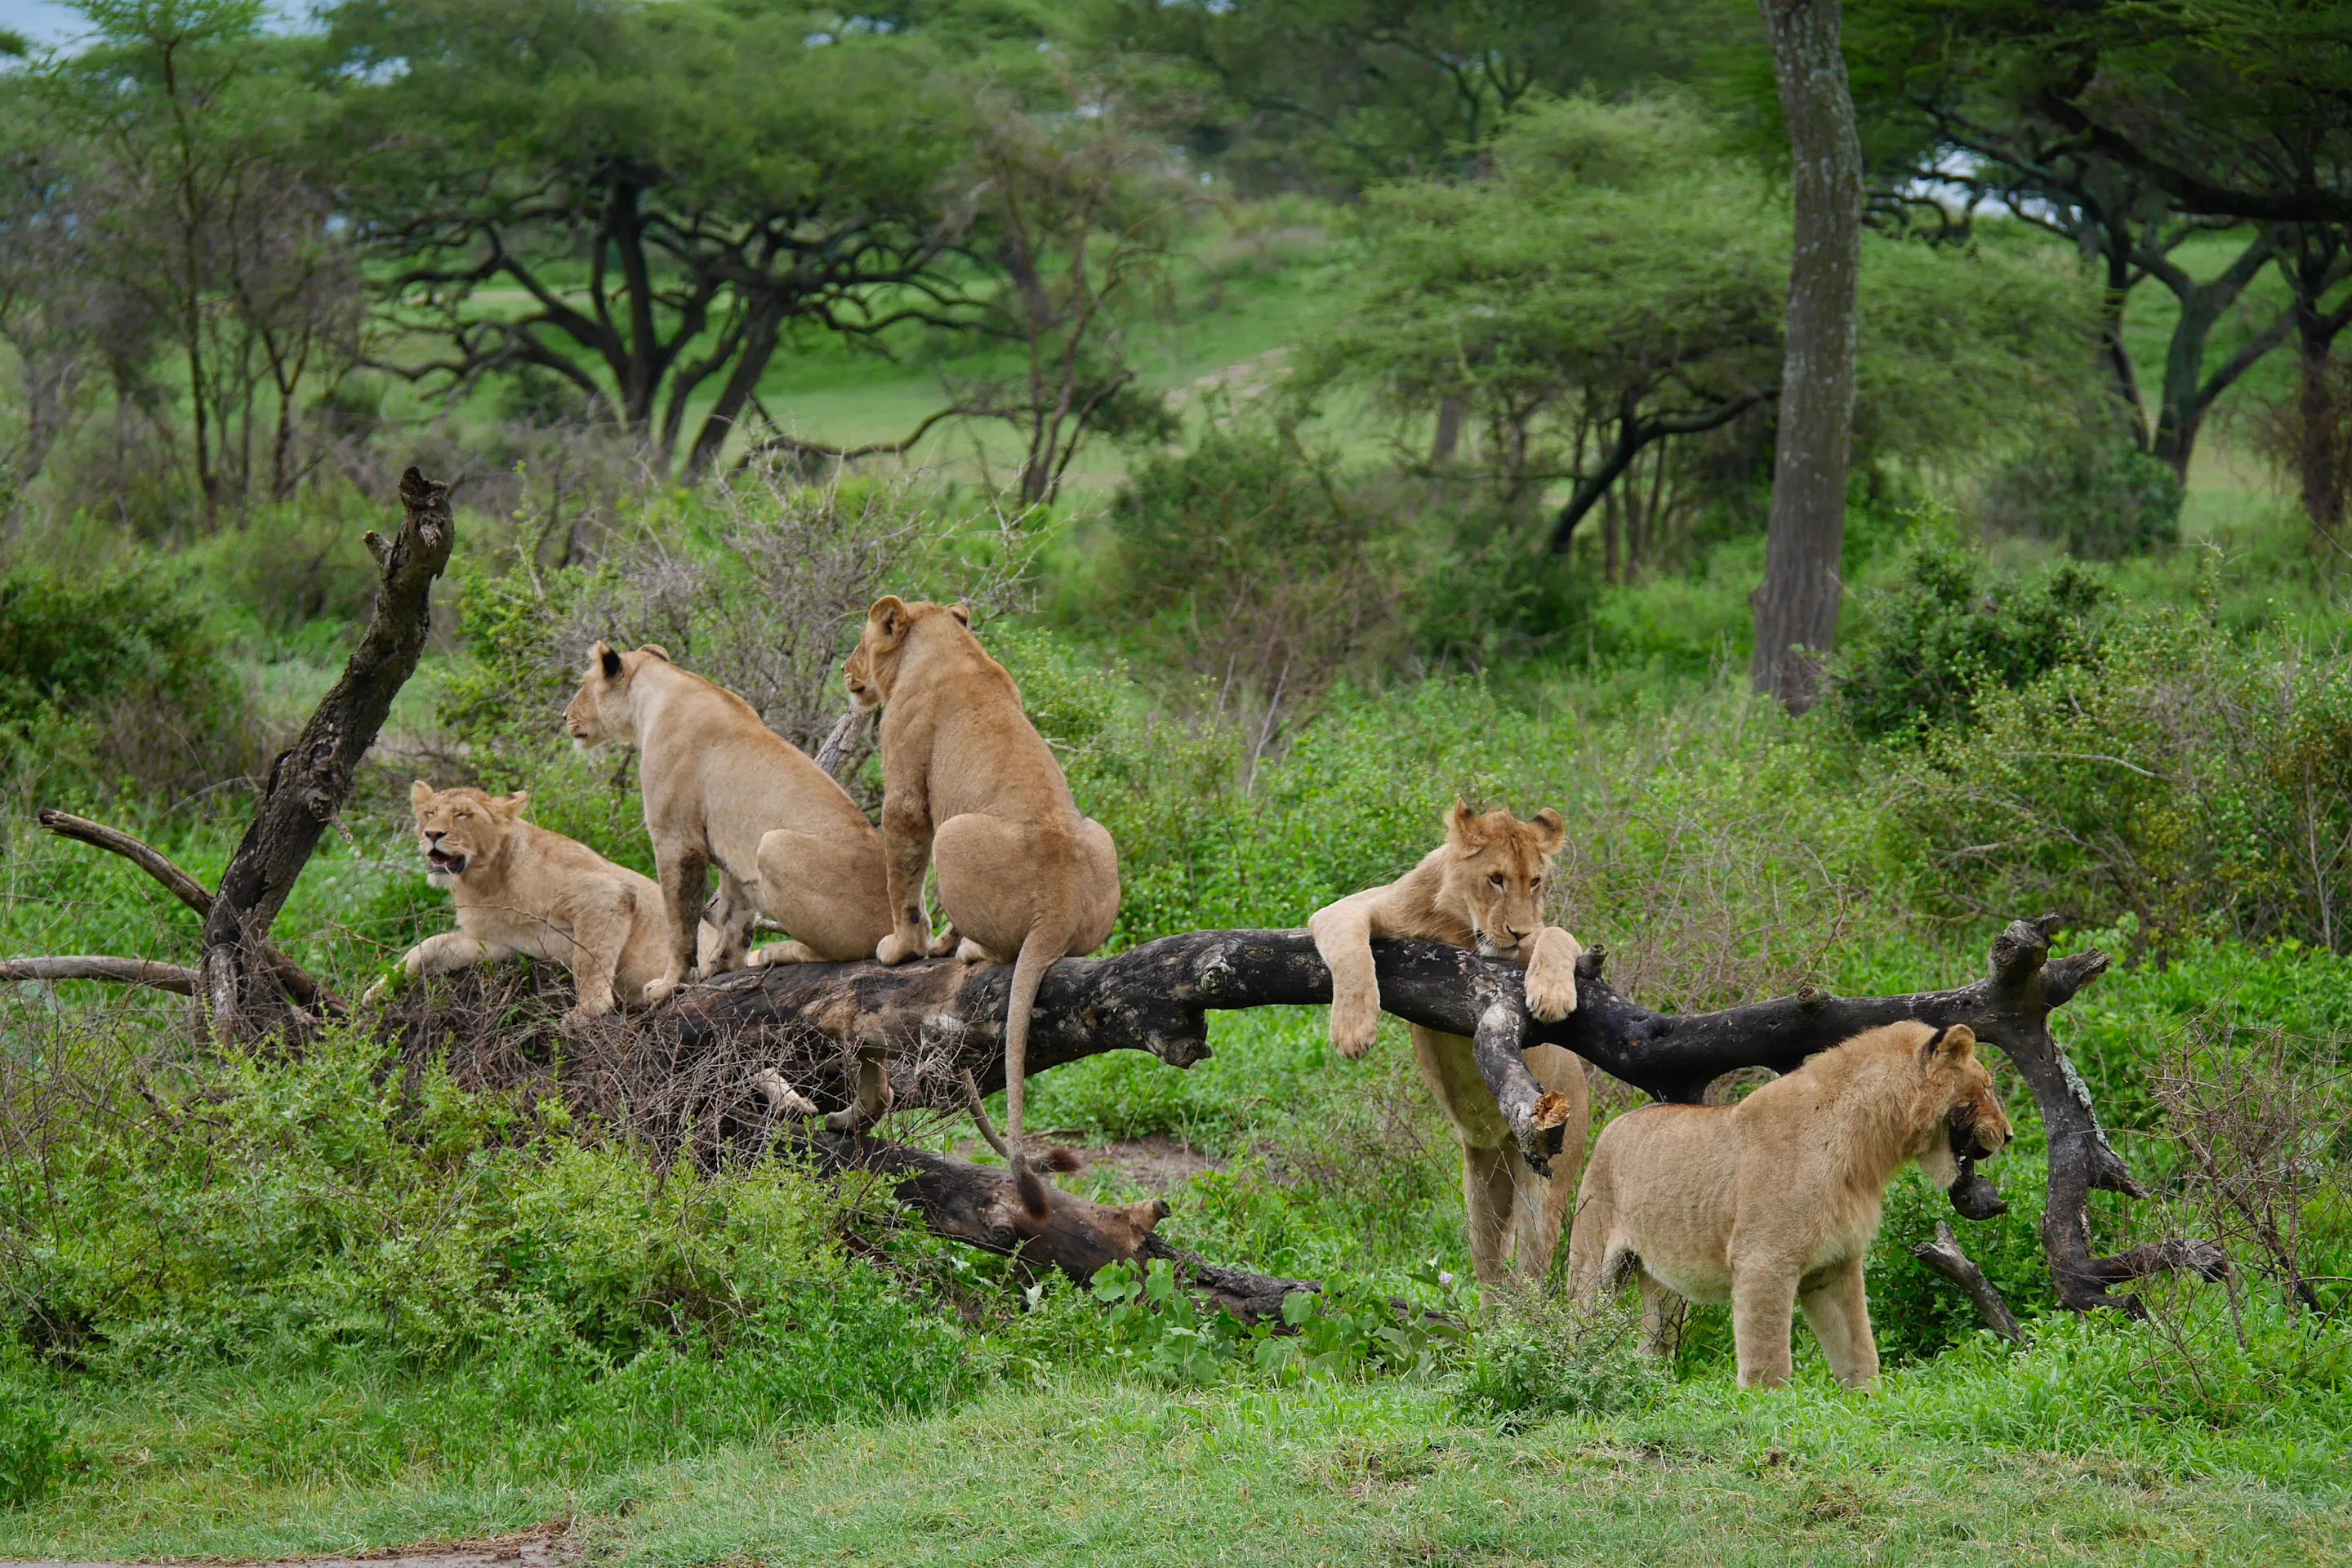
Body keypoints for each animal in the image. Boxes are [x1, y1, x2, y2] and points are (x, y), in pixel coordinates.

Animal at [363, 782, 678, 1029]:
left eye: (462, 814)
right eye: (429, 814)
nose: (432, 834)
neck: (483, 884)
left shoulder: (608, 891)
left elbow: (588, 959)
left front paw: (589, 1010)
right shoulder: (498, 942)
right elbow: (428, 946)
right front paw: (377, 990)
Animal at [564, 643, 893, 1002]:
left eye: (583, 684)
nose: (564, 716)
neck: (652, 700)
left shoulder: (676, 840)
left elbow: (679, 923)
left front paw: (668, 985)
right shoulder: (729, 849)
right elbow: (731, 914)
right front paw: (721, 966)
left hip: (774, 845)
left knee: (843, 951)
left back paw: (776, 952)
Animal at [846, 596, 1120, 1143]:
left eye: (862, 644)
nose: (847, 671)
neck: (943, 645)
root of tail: (1058, 908)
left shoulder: (904, 792)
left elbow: (902, 879)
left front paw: (902, 948)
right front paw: (929, 944)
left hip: (952, 833)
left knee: (998, 951)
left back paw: (967, 950)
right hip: (1101, 836)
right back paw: (954, 944)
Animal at [1308, 802, 1588, 1285]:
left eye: (1534, 881)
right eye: (1496, 878)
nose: (1517, 931)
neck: (1458, 927)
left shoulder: (1531, 941)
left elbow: (1558, 935)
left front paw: (1552, 994)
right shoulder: (1353, 907)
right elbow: (1349, 949)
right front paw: (1352, 1029)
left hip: (1546, 1184)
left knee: (1531, 1274)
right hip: (1481, 1190)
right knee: (1492, 1276)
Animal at [1566, 1020, 2013, 1390]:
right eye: (1986, 1088)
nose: (2008, 1135)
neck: (1869, 1147)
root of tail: (1613, 1123)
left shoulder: (1836, 1263)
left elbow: (1857, 1344)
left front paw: (1869, 1400)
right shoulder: (1763, 1259)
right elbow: (1768, 1356)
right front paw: (1765, 1409)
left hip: (1664, 1290)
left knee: (1653, 1343)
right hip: (1591, 1263)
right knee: (1578, 1320)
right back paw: (1576, 1366)